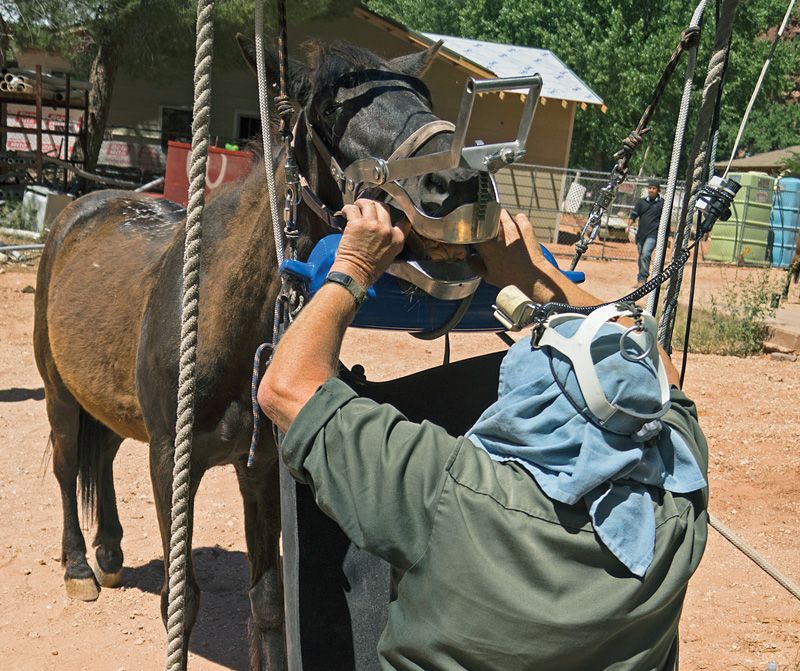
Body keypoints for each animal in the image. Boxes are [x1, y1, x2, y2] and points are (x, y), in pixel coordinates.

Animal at [32, 36, 488, 671]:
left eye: (424, 96)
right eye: (329, 109)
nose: (460, 184)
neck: (220, 325)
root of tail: (82, 210)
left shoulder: (261, 467)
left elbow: (270, 600)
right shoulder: (170, 460)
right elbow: (182, 604)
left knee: (102, 456)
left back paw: (111, 553)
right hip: (58, 394)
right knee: (67, 464)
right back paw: (79, 565)